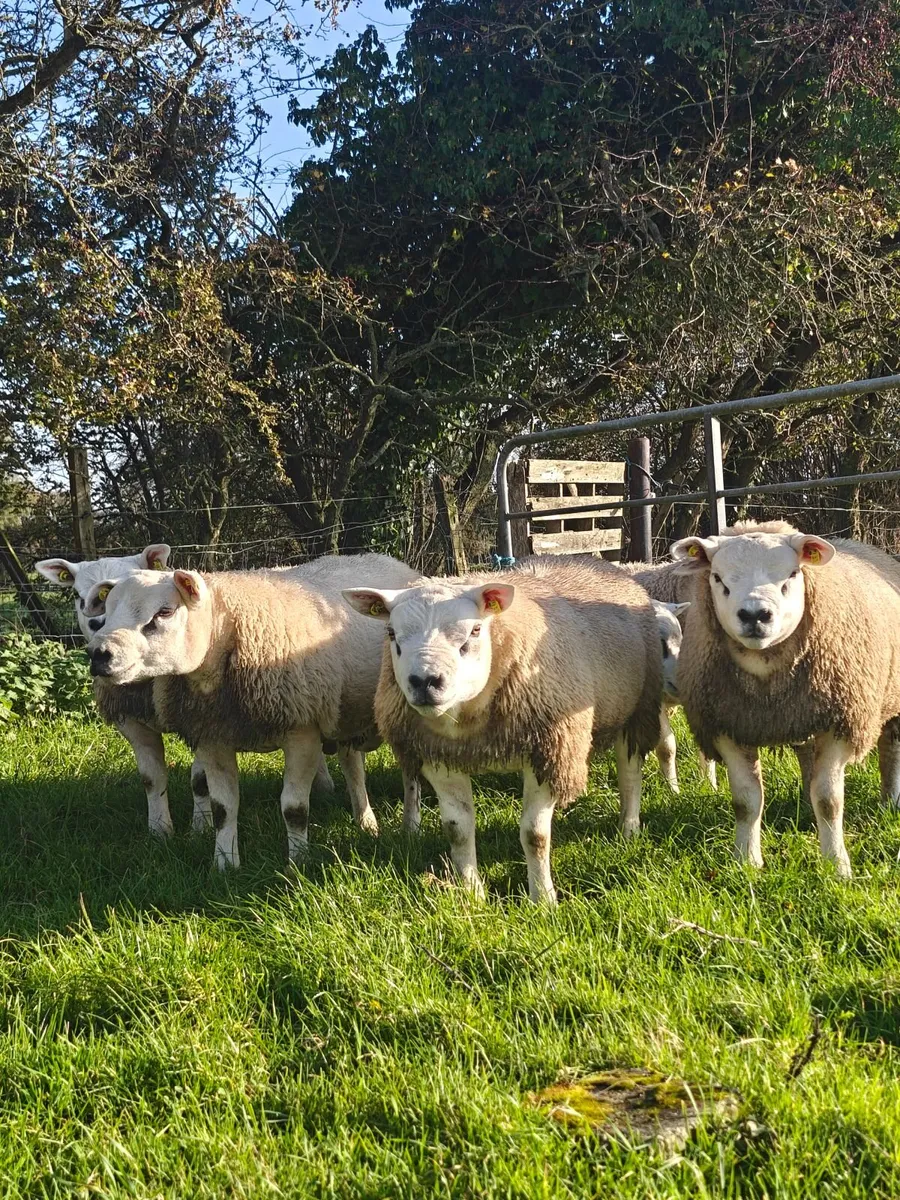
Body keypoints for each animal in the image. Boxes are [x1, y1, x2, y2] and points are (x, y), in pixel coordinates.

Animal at [85, 554, 422, 869]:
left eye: (164, 612)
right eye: (107, 610)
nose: (99, 654)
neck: (227, 631)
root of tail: (385, 559)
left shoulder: (302, 730)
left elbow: (294, 809)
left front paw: (298, 863)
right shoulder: (212, 735)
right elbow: (222, 807)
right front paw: (224, 863)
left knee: (406, 774)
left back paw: (406, 826)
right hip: (342, 710)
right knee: (352, 765)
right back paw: (365, 821)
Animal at [343, 557, 662, 904]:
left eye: (475, 630)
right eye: (391, 633)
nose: (425, 682)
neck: (466, 721)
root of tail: (602, 563)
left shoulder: (547, 748)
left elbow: (534, 834)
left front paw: (543, 899)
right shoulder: (438, 754)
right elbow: (457, 829)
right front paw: (472, 893)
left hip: (638, 709)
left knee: (629, 773)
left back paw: (628, 828)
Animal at [670, 520, 900, 877]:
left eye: (792, 574)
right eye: (718, 578)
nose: (755, 615)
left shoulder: (842, 721)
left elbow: (829, 801)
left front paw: (837, 866)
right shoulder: (727, 726)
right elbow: (746, 801)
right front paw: (746, 862)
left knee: (890, 746)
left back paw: (889, 800)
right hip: (800, 713)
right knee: (806, 755)